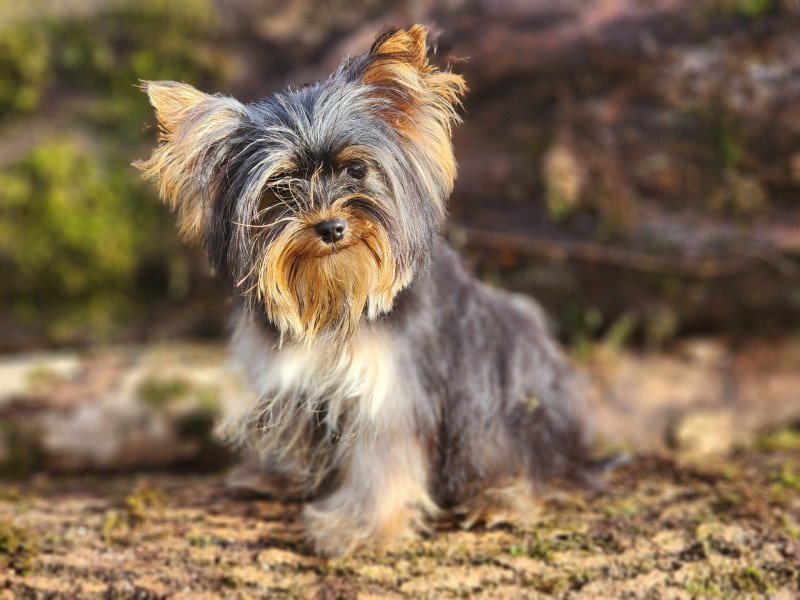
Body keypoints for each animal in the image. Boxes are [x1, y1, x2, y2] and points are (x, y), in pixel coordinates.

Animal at [138, 24, 596, 556]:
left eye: (356, 170)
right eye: (282, 185)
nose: (332, 227)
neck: (336, 296)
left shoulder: (390, 389)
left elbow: (383, 462)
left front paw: (358, 528)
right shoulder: (288, 381)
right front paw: (275, 476)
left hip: (504, 399)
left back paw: (498, 498)